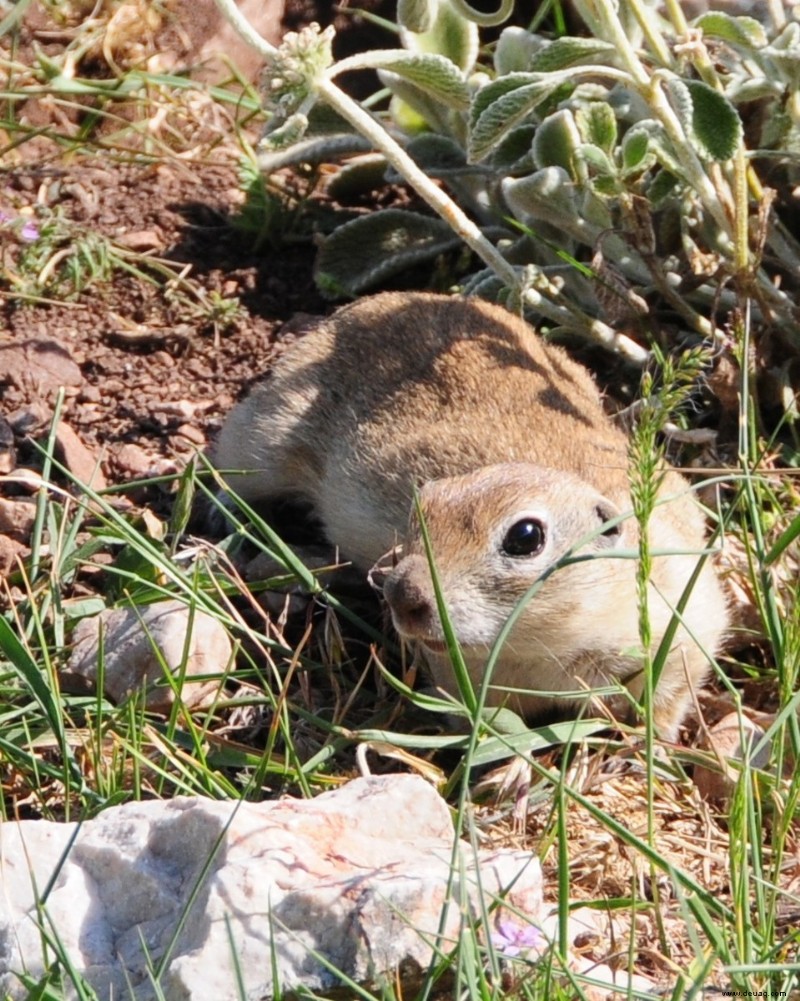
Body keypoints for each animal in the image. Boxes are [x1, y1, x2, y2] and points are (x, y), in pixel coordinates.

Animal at [216, 290, 728, 736]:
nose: (402, 595)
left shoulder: (686, 632)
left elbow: (667, 700)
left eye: (526, 536)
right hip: (262, 443)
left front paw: (649, 747)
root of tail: (368, 304)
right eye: (422, 508)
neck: (547, 640)